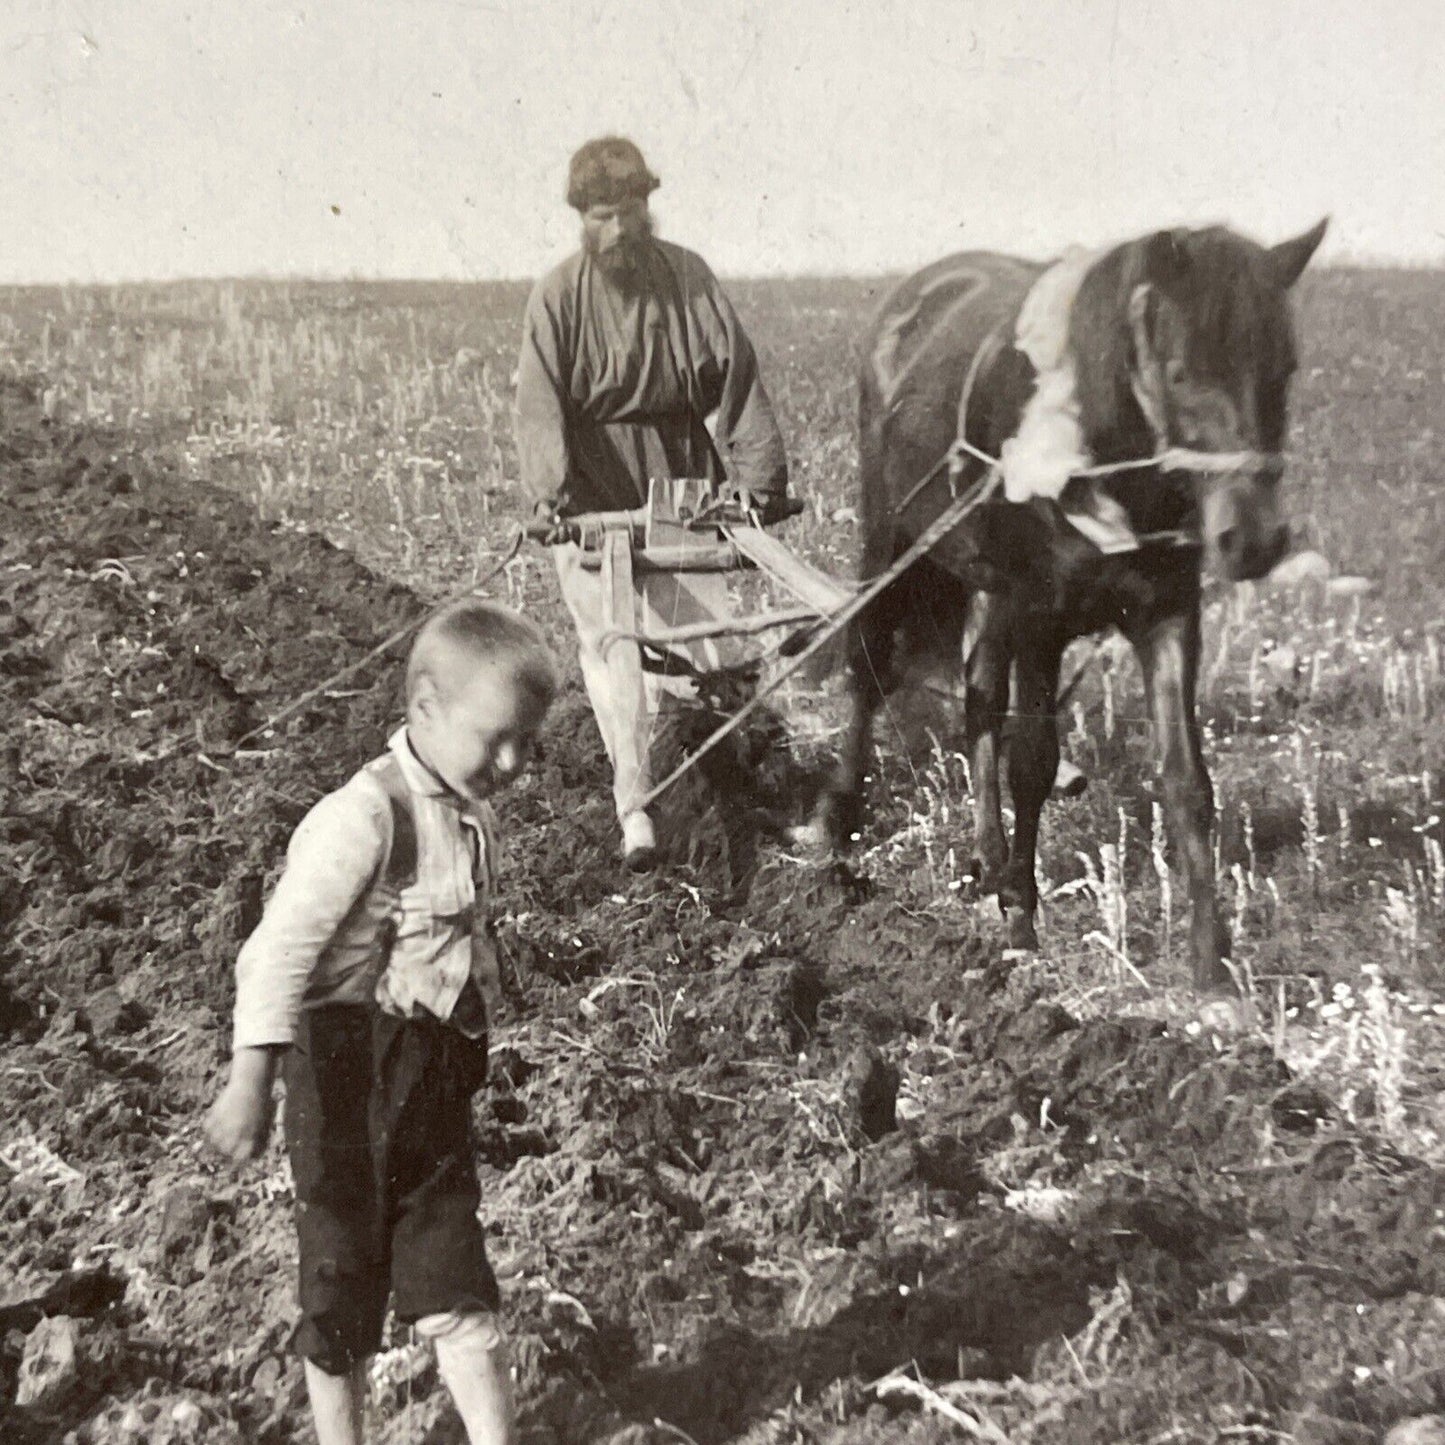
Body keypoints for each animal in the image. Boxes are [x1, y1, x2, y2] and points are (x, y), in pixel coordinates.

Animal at [832, 219, 1323, 1005]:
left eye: (1285, 367)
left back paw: (987, 860)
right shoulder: (1040, 615)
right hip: (893, 538)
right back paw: (841, 825)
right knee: (869, 661)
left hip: (989, 584)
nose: (1252, 539)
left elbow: (1187, 780)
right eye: (1178, 373)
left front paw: (1211, 967)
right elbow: (1032, 761)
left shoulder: (1166, 616)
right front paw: (1023, 928)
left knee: (976, 696)